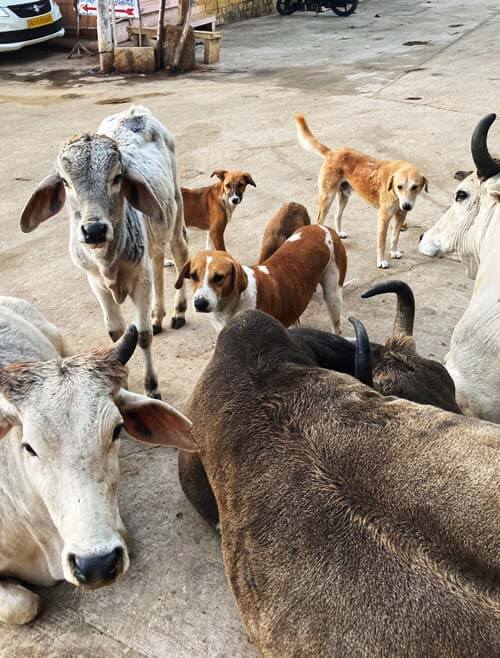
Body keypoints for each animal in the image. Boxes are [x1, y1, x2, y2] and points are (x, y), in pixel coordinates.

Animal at [19, 105, 188, 398]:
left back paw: (178, 312)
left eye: (117, 177)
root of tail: (136, 110)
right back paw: (158, 315)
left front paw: (152, 386)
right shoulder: (96, 282)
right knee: (157, 260)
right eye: (66, 182)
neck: (109, 261)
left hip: (174, 212)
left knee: (179, 254)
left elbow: (142, 335)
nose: (94, 230)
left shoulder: (140, 279)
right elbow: (116, 333)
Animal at [177, 223, 348, 334]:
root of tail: (324, 228)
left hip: (333, 296)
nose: (200, 303)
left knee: (337, 326)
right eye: (193, 275)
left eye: (219, 277)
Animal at [294, 114, 428, 268]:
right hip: (327, 197)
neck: (395, 195)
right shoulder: (384, 218)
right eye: (399, 186)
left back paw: (339, 233)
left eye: (415, 187)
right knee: (319, 220)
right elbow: (382, 242)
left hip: (344, 195)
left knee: (337, 215)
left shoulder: (400, 215)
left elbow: (395, 236)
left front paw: (394, 252)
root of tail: (333, 152)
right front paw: (381, 261)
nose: (406, 206)